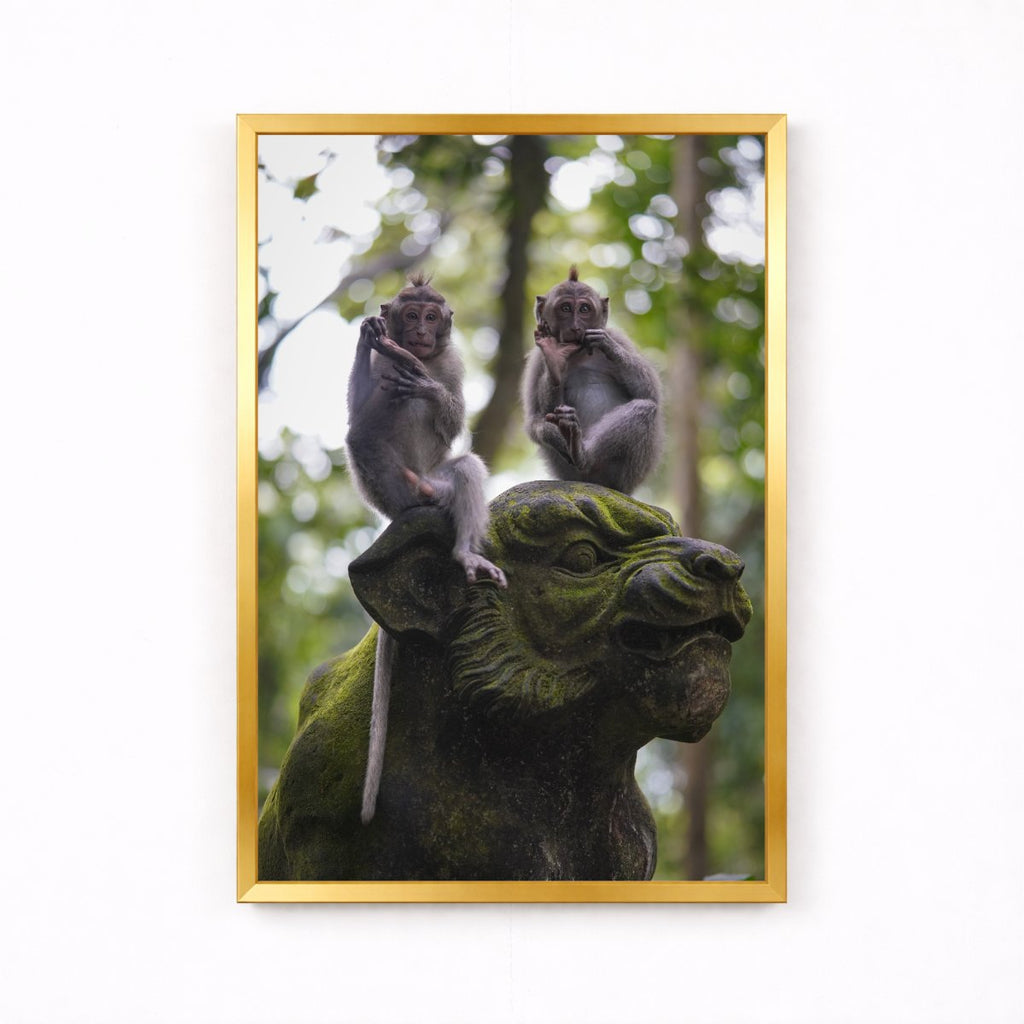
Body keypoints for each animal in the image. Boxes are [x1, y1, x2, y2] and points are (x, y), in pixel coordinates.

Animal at [345, 273, 506, 824]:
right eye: (410, 313)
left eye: (431, 317)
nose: (417, 332)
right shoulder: (380, 370)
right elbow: (356, 406)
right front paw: (367, 337)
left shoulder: (453, 363)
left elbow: (451, 417)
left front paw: (423, 381)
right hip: (385, 491)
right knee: (360, 434)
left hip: (440, 486)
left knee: (466, 468)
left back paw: (462, 552)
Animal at [521, 266, 664, 495]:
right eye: (566, 308)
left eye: (584, 309)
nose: (575, 326)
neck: (578, 353)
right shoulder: (536, 360)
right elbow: (537, 418)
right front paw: (555, 359)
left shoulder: (620, 338)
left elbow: (651, 393)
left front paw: (606, 344)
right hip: (567, 472)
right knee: (541, 426)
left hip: (628, 475)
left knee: (645, 407)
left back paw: (583, 454)